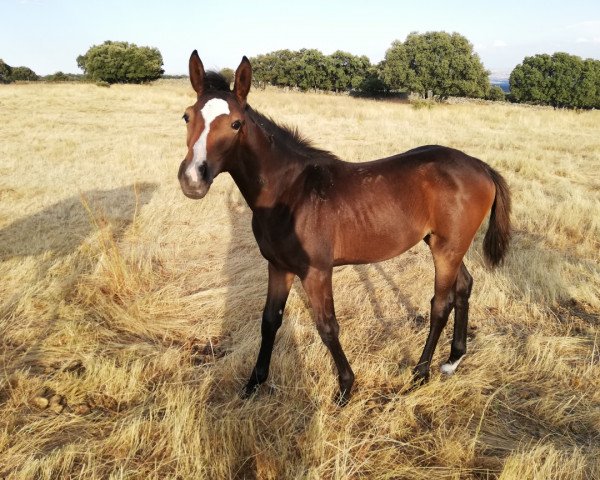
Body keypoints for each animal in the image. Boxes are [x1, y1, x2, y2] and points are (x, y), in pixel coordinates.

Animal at [178, 51, 510, 404]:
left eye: (236, 124)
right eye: (186, 117)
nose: (192, 180)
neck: (288, 191)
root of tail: (482, 167)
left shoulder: (317, 271)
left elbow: (327, 326)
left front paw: (346, 387)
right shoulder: (278, 266)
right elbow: (269, 321)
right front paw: (254, 383)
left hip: (447, 249)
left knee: (440, 304)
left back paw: (420, 374)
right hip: (444, 244)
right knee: (465, 286)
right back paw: (453, 360)